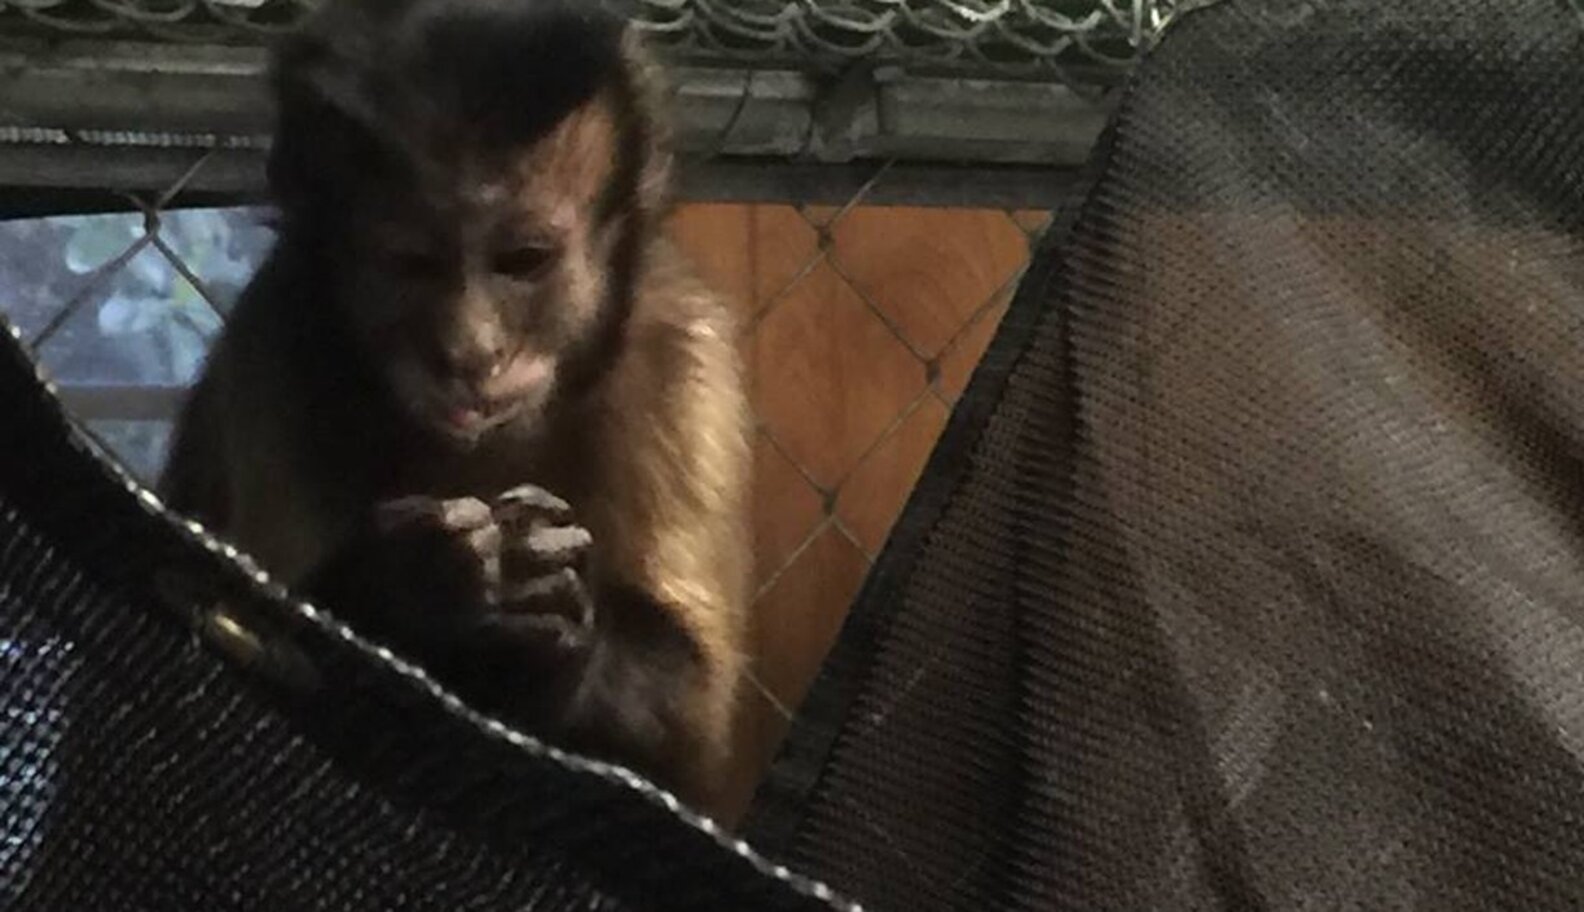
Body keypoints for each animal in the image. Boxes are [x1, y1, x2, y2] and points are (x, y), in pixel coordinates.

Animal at [158, 0, 752, 815]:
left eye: (523, 261)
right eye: (413, 264)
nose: (471, 354)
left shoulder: (685, 364)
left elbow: (691, 741)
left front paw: (561, 621)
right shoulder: (277, 348)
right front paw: (411, 589)